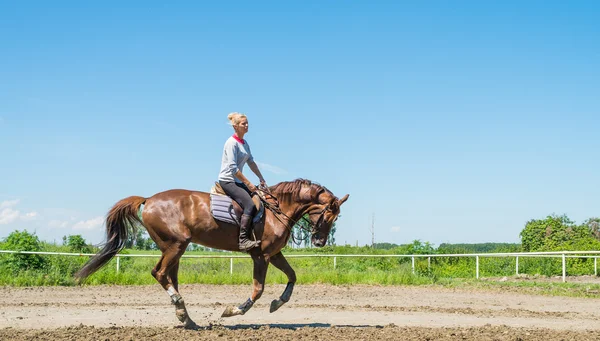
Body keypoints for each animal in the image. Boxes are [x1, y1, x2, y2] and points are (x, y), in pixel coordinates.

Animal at [76, 178, 346, 326]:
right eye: (328, 216)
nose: (319, 241)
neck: (275, 210)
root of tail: (148, 199)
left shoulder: (274, 254)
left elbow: (292, 276)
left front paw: (277, 304)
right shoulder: (261, 256)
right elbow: (258, 289)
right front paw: (234, 311)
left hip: (173, 248)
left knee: (170, 277)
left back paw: (186, 318)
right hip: (176, 245)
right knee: (159, 273)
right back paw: (181, 309)